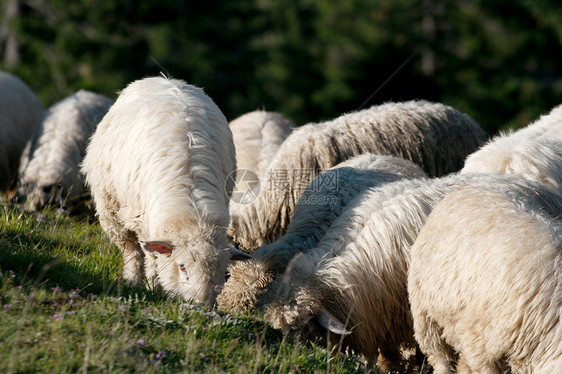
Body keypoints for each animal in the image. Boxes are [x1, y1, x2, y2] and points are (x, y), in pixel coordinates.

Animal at [81, 74, 243, 306]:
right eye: (182, 267)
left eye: (223, 271)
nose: (202, 305)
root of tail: (164, 79)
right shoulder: (143, 222)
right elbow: (150, 257)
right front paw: (152, 285)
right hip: (110, 208)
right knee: (130, 250)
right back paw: (132, 279)